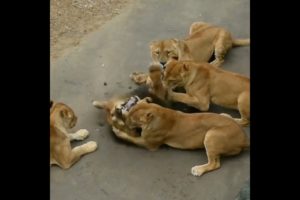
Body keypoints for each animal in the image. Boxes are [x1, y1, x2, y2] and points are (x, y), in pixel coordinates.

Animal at [111, 98, 250, 177]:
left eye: (133, 119)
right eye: (130, 113)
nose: (126, 121)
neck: (158, 112)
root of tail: (245, 139)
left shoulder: (148, 143)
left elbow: (130, 138)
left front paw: (117, 130)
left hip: (211, 135)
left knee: (215, 163)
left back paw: (198, 170)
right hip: (224, 116)